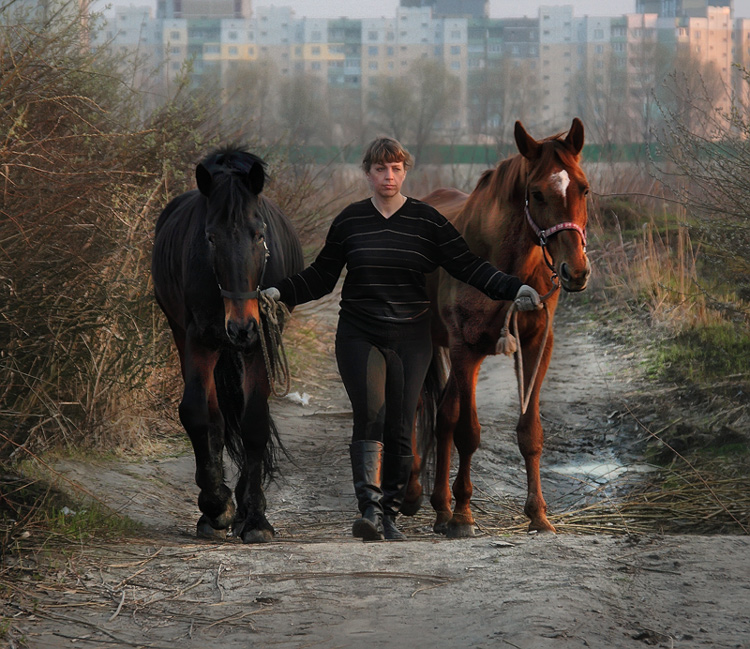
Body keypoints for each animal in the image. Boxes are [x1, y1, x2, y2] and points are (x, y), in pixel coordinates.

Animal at [151, 147, 304, 540]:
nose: (240, 327)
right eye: (210, 238)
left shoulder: (259, 344)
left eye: (259, 234)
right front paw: (216, 505)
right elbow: (197, 414)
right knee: (215, 417)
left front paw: (256, 517)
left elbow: (254, 422)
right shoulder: (198, 339)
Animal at [412, 119, 592, 536]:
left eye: (584, 188)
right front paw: (465, 514)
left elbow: (530, 432)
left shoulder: (537, 344)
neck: (505, 270)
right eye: (537, 194)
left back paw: (441, 508)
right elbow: (468, 432)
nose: (575, 271)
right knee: (417, 411)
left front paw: (538, 514)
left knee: (443, 416)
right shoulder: (464, 347)